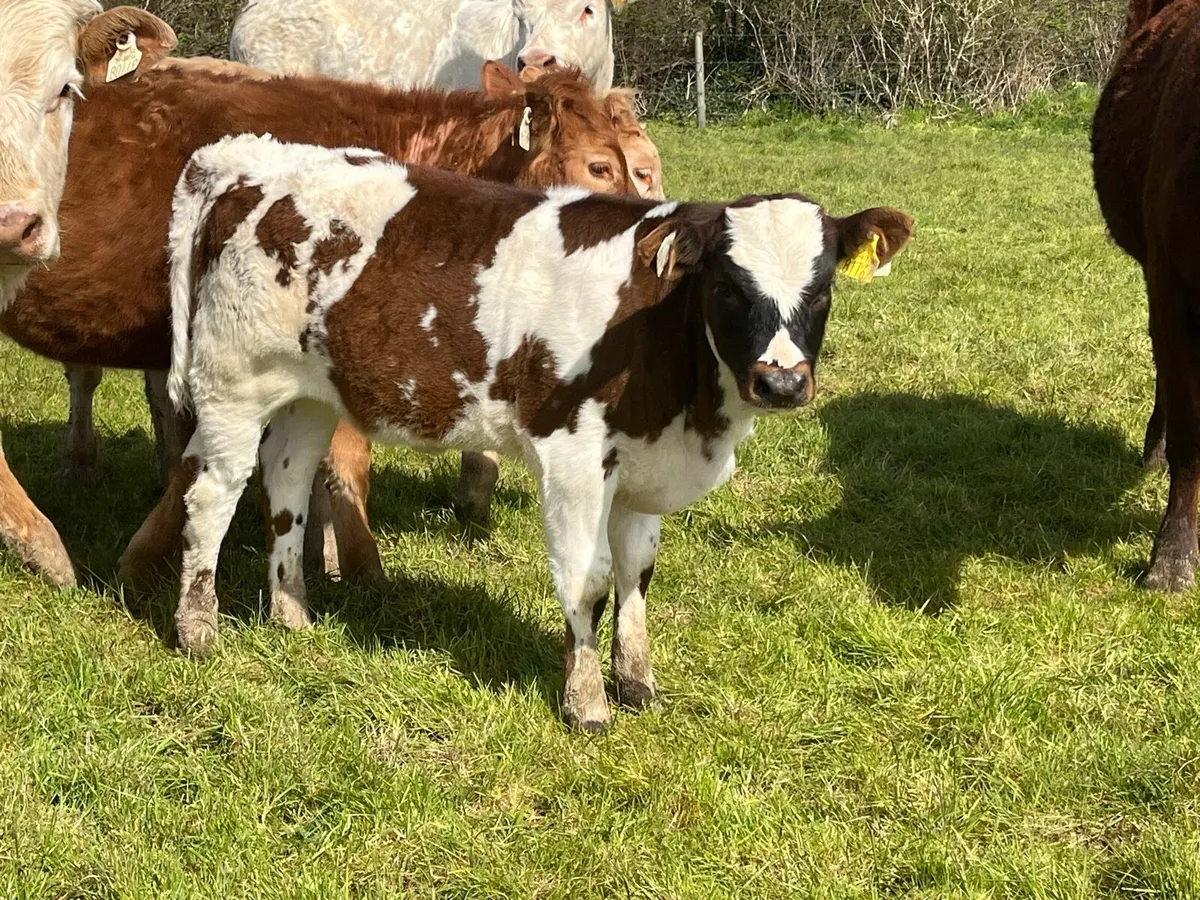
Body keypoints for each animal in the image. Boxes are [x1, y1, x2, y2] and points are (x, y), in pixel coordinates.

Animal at [165, 134, 913, 730]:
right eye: (728, 287)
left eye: (822, 290)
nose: (781, 383)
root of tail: (242, 155)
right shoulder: (574, 458)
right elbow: (588, 579)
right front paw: (586, 703)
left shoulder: (643, 466)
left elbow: (637, 573)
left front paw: (638, 685)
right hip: (232, 385)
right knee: (211, 498)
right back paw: (198, 631)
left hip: (308, 397)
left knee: (286, 490)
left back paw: (291, 616)